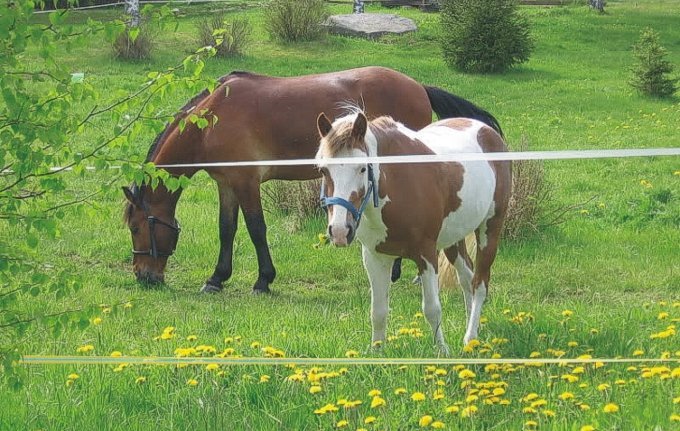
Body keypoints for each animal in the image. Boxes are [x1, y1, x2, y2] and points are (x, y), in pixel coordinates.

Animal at [122, 66, 504, 294]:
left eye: (137, 227)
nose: (143, 275)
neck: (212, 120)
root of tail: (417, 86)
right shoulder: (227, 184)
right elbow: (226, 229)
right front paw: (216, 279)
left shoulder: (246, 183)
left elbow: (256, 229)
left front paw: (263, 280)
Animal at [314, 109, 510, 352]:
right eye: (324, 170)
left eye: (362, 168)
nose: (340, 231)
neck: (397, 184)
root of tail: (487, 130)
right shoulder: (375, 257)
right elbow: (378, 312)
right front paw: (377, 351)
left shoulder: (426, 254)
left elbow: (432, 309)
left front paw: (442, 351)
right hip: (452, 239)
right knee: (467, 278)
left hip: (490, 229)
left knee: (480, 283)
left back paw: (470, 337)